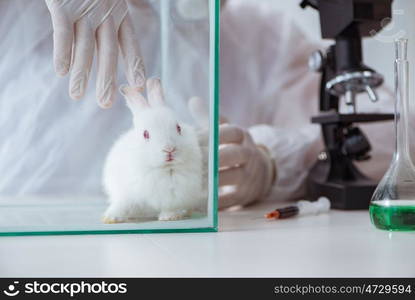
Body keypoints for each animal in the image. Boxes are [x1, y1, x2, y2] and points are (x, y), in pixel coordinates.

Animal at [101, 78, 204, 223]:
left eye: (178, 128)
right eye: (145, 134)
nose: (169, 149)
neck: (161, 169)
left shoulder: (174, 196)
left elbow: (170, 207)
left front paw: (169, 217)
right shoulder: (125, 193)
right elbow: (122, 205)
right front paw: (110, 218)